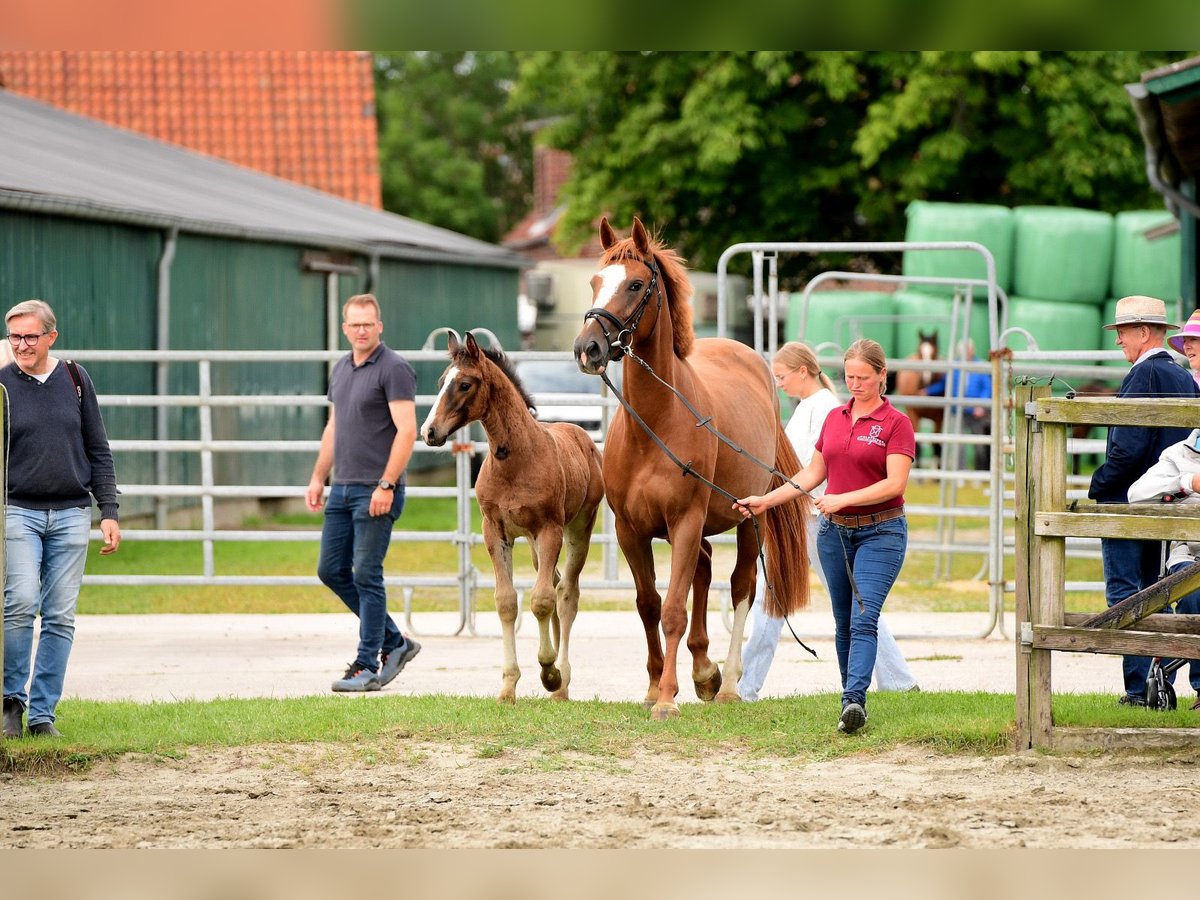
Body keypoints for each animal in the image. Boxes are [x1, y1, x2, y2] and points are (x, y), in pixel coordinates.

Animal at [424, 331, 609, 705]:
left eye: (464, 384)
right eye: (441, 382)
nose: (429, 431)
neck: (516, 460)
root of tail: (583, 437)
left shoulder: (550, 529)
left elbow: (541, 600)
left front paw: (549, 673)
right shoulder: (494, 531)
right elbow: (507, 602)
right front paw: (508, 687)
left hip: (577, 529)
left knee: (565, 594)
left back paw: (561, 683)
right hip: (535, 542)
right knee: (553, 581)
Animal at [573, 217, 816, 720]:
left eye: (635, 284)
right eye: (595, 281)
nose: (588, 349)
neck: (655, 424)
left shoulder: (685, 521)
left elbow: (673, 611)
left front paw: (667, 699)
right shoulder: (630, 530)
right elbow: (649, 604)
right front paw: (653, 687)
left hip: (749, 517)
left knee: (741, 586)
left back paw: (727, 684)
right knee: (703, 570)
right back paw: (705, 671)